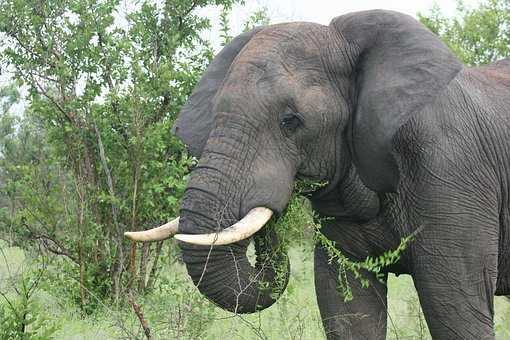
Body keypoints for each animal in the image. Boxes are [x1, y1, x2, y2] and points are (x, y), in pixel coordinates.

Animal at [125, 9, 510, 338]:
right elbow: (346, 306)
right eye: (215, 113)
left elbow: (455, 308)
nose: (273, 219)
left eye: (290, 121)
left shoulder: (450, 169)